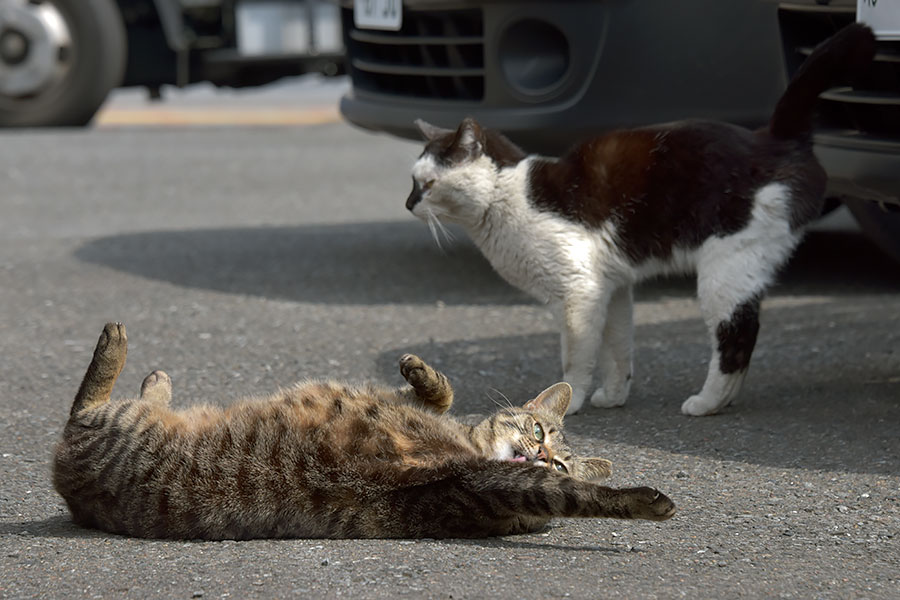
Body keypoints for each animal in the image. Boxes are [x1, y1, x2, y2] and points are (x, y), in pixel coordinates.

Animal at [52, 324, 676, 540]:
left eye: (561, 462)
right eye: (539, 430)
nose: (544, 457)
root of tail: (68, 488)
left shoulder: (486, 482)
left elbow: (582, 496)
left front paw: (642, 501)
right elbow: (441, 392)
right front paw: (423, 372)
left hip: (106, 428)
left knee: (85, 402)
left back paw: (129, 355)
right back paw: (151, 374)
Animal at [404, 24, 876, 418]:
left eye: (427, 184)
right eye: (412, 183)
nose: (408, 205)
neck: (509, 198)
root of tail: (773, 137)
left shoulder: (578, 294)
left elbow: (576, 356)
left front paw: (570, 401)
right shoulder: (610, 289)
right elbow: (617, 349)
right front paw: (614, 395)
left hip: (725, 270)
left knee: (738, 336)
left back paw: (708, 402)